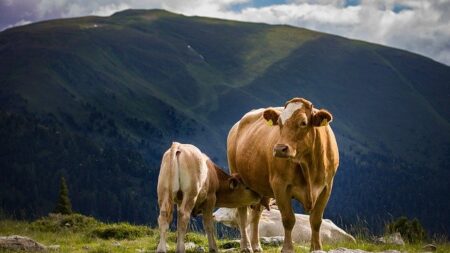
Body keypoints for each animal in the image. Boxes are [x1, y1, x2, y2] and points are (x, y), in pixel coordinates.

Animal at [229, 98, 338, 252]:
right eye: (279, 123)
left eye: (303, 122)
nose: (280, 149)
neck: (308, 166)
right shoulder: (280, 186)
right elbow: (288, 219)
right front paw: (287, 248)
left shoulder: (327, 187)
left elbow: (316, 220)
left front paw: (316, 248)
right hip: (237, 177)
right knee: (242, 214)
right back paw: (246, 246)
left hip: (260, 187)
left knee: (256, 214)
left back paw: (256, 246)